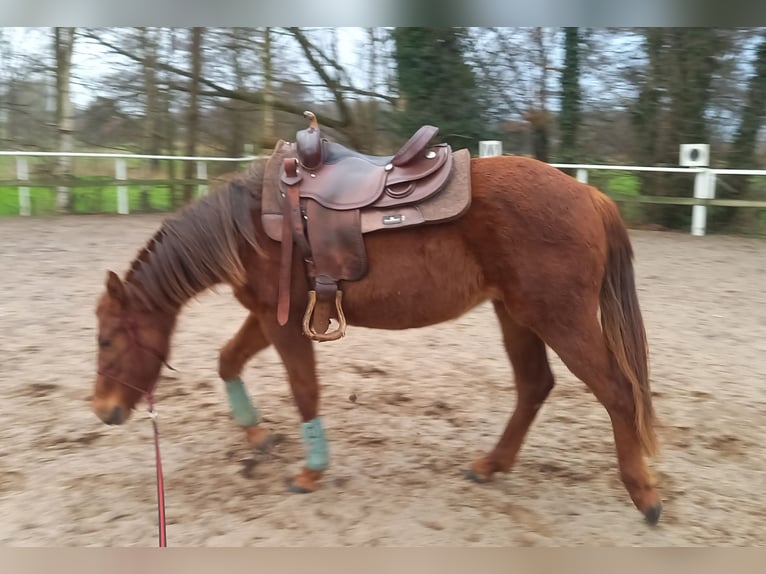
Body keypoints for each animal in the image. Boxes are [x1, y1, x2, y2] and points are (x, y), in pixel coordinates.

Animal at [91, 154, 664, 528]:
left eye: (106, 341)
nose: (103, 410)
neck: (253, 224)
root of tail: (589, 194)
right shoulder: (266, 316)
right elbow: (227, 361)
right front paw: (257, 435)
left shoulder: (283, 323)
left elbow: (304, 391)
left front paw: (311, 471)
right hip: (517, 315)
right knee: (534, 386)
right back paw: (490, 465)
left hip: (559, 319)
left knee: (618, 392)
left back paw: (644, 495)